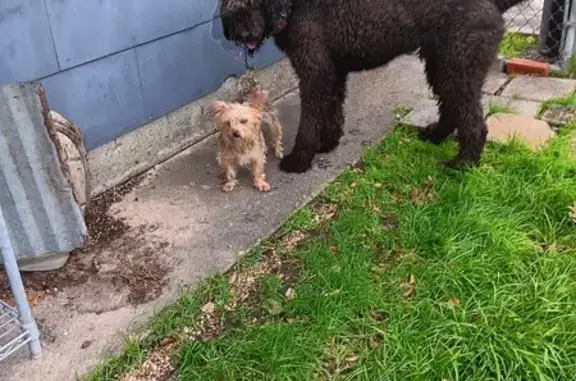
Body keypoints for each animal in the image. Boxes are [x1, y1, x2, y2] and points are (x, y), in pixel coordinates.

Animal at [219, 0, 528, 172]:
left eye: (251, 3)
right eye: (232, 9)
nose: (242, 34)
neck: (292, 7)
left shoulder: (314, 74)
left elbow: (310, 121)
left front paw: (300, 159)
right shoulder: (332, 73)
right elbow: (333, 111)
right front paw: (329, 143)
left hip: (458, 69)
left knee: (474, 122)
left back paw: (464, 164)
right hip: (442, 66)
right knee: (453, 109)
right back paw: (436, 136)